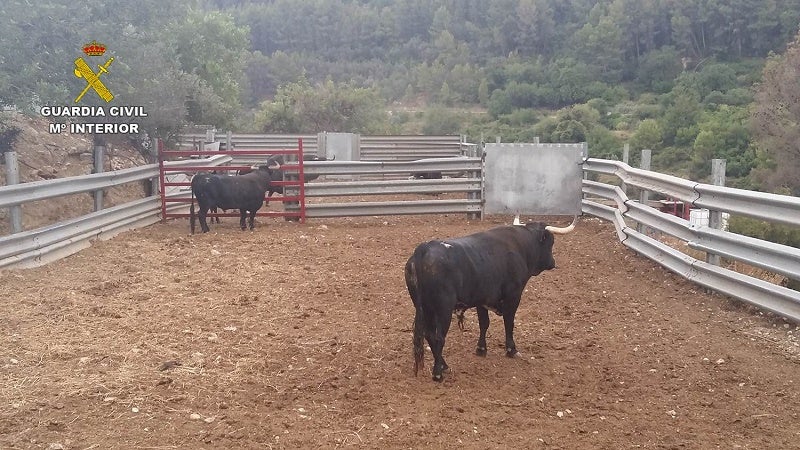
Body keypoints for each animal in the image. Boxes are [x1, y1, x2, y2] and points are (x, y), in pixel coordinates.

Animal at [406, 218, 576, 380]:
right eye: (551, 242)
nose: (553, 263)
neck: (520, 247)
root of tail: (423, 250)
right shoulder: (513, 296)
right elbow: (509, 323)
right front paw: (511, 349)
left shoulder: (482, 300)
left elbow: (484, 324)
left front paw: (481, 349)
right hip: (443, 309)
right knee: (438, 337)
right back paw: (438, 373)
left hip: (425, 309)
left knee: (429, 335)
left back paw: (444, 365)